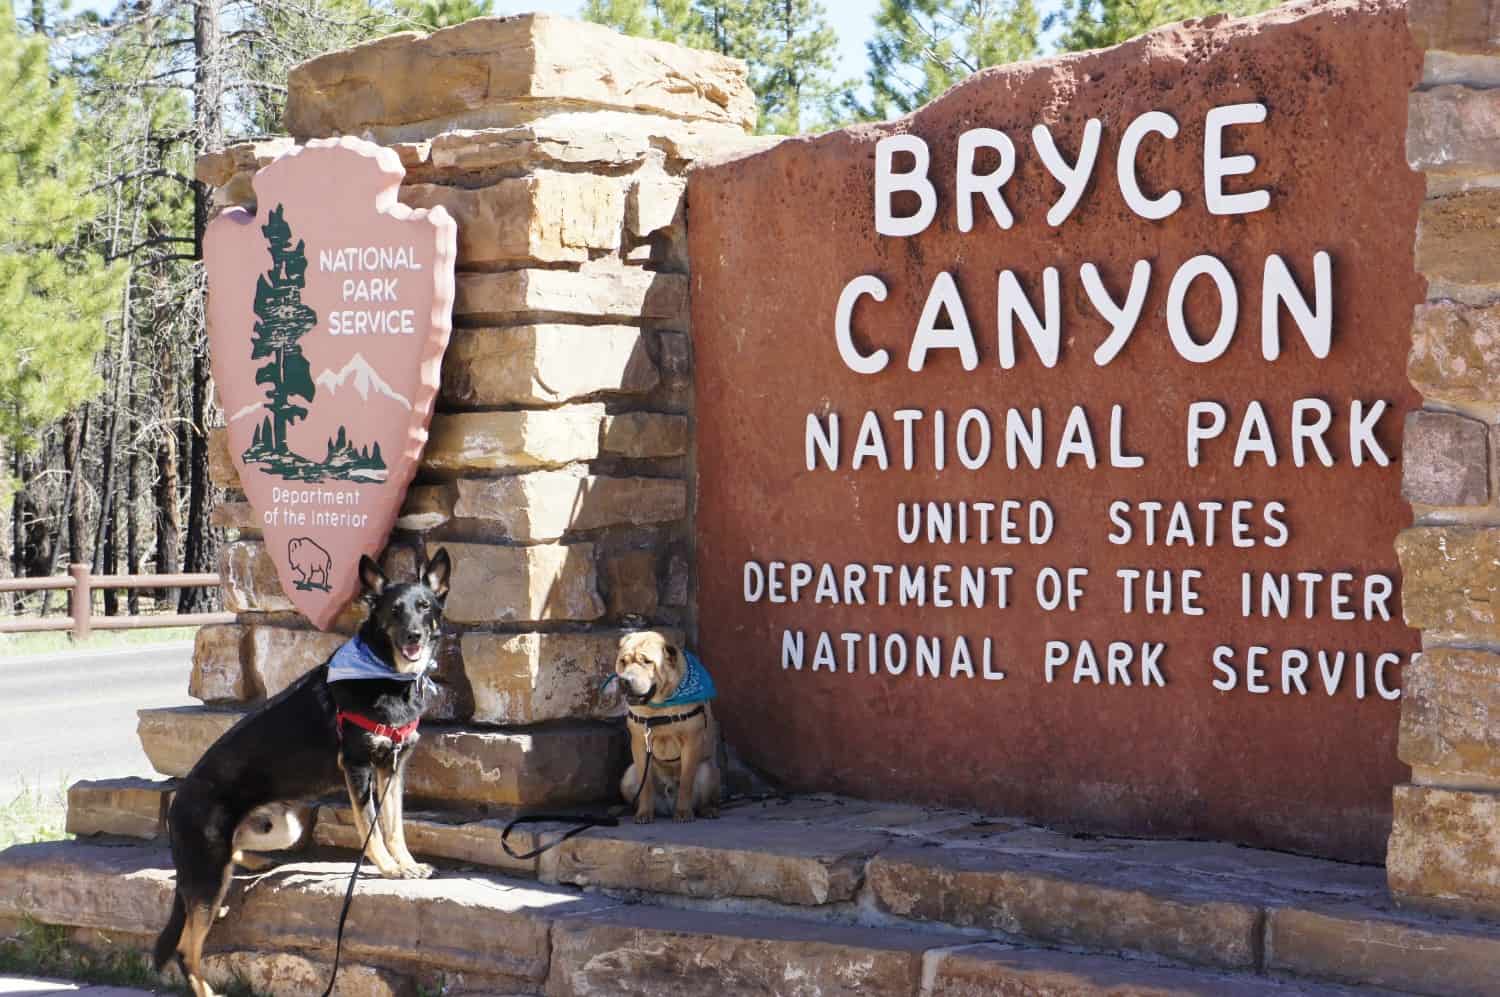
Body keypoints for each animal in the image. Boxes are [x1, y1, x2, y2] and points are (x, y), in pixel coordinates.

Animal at [150, 548, 450, 989]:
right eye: (394, 611)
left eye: (424, 607)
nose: (413, 636)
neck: (385, 672)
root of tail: (178, 801)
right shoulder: (358, 767)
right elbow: (372, 828)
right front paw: (390, 870)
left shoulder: (393, 768)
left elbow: (395, 826)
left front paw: (407, 864)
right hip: (208, 878)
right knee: (187, 949)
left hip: (283, 830)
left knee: (235, 857)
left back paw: (256, 861)